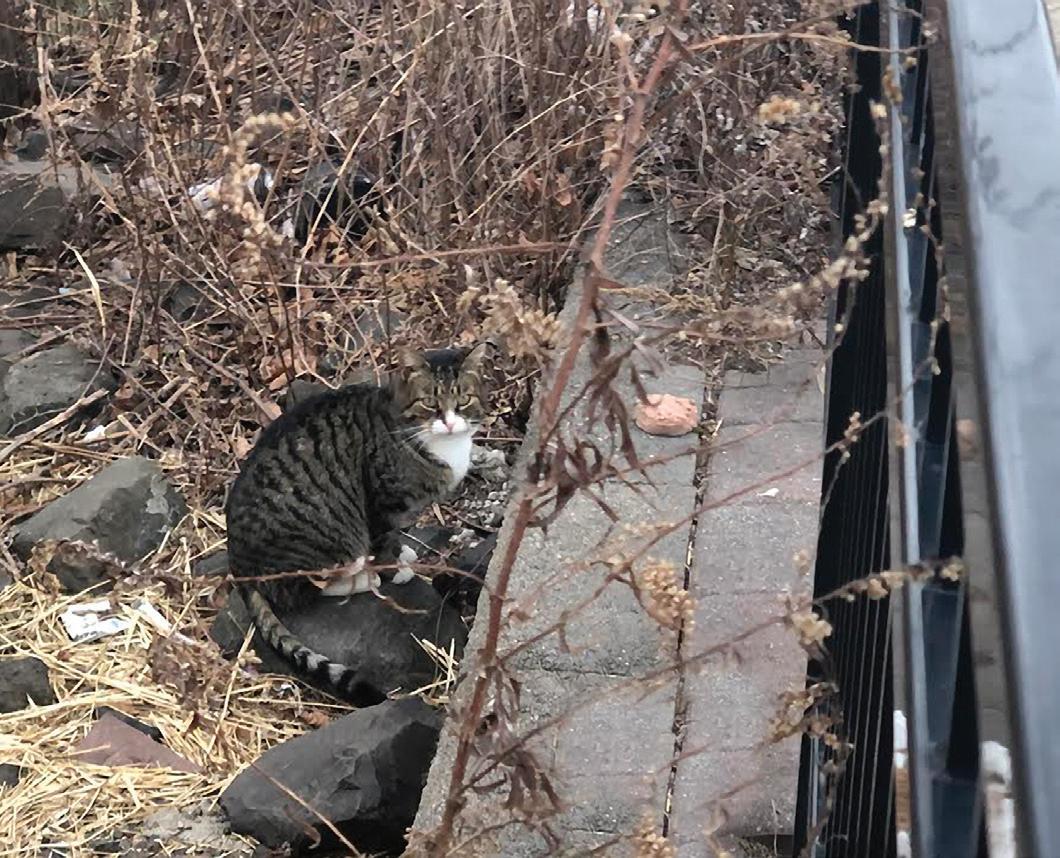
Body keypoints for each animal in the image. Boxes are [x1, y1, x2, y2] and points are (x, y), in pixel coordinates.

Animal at [224, 343, 489, 703]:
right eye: (430, 403)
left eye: (462, 400)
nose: (448, 423)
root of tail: (239, 567)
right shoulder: (381, 503)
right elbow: (384, 542)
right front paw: (394, 568)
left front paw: (403, 554)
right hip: (324, 540)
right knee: (305, 590)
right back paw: (363, 577)